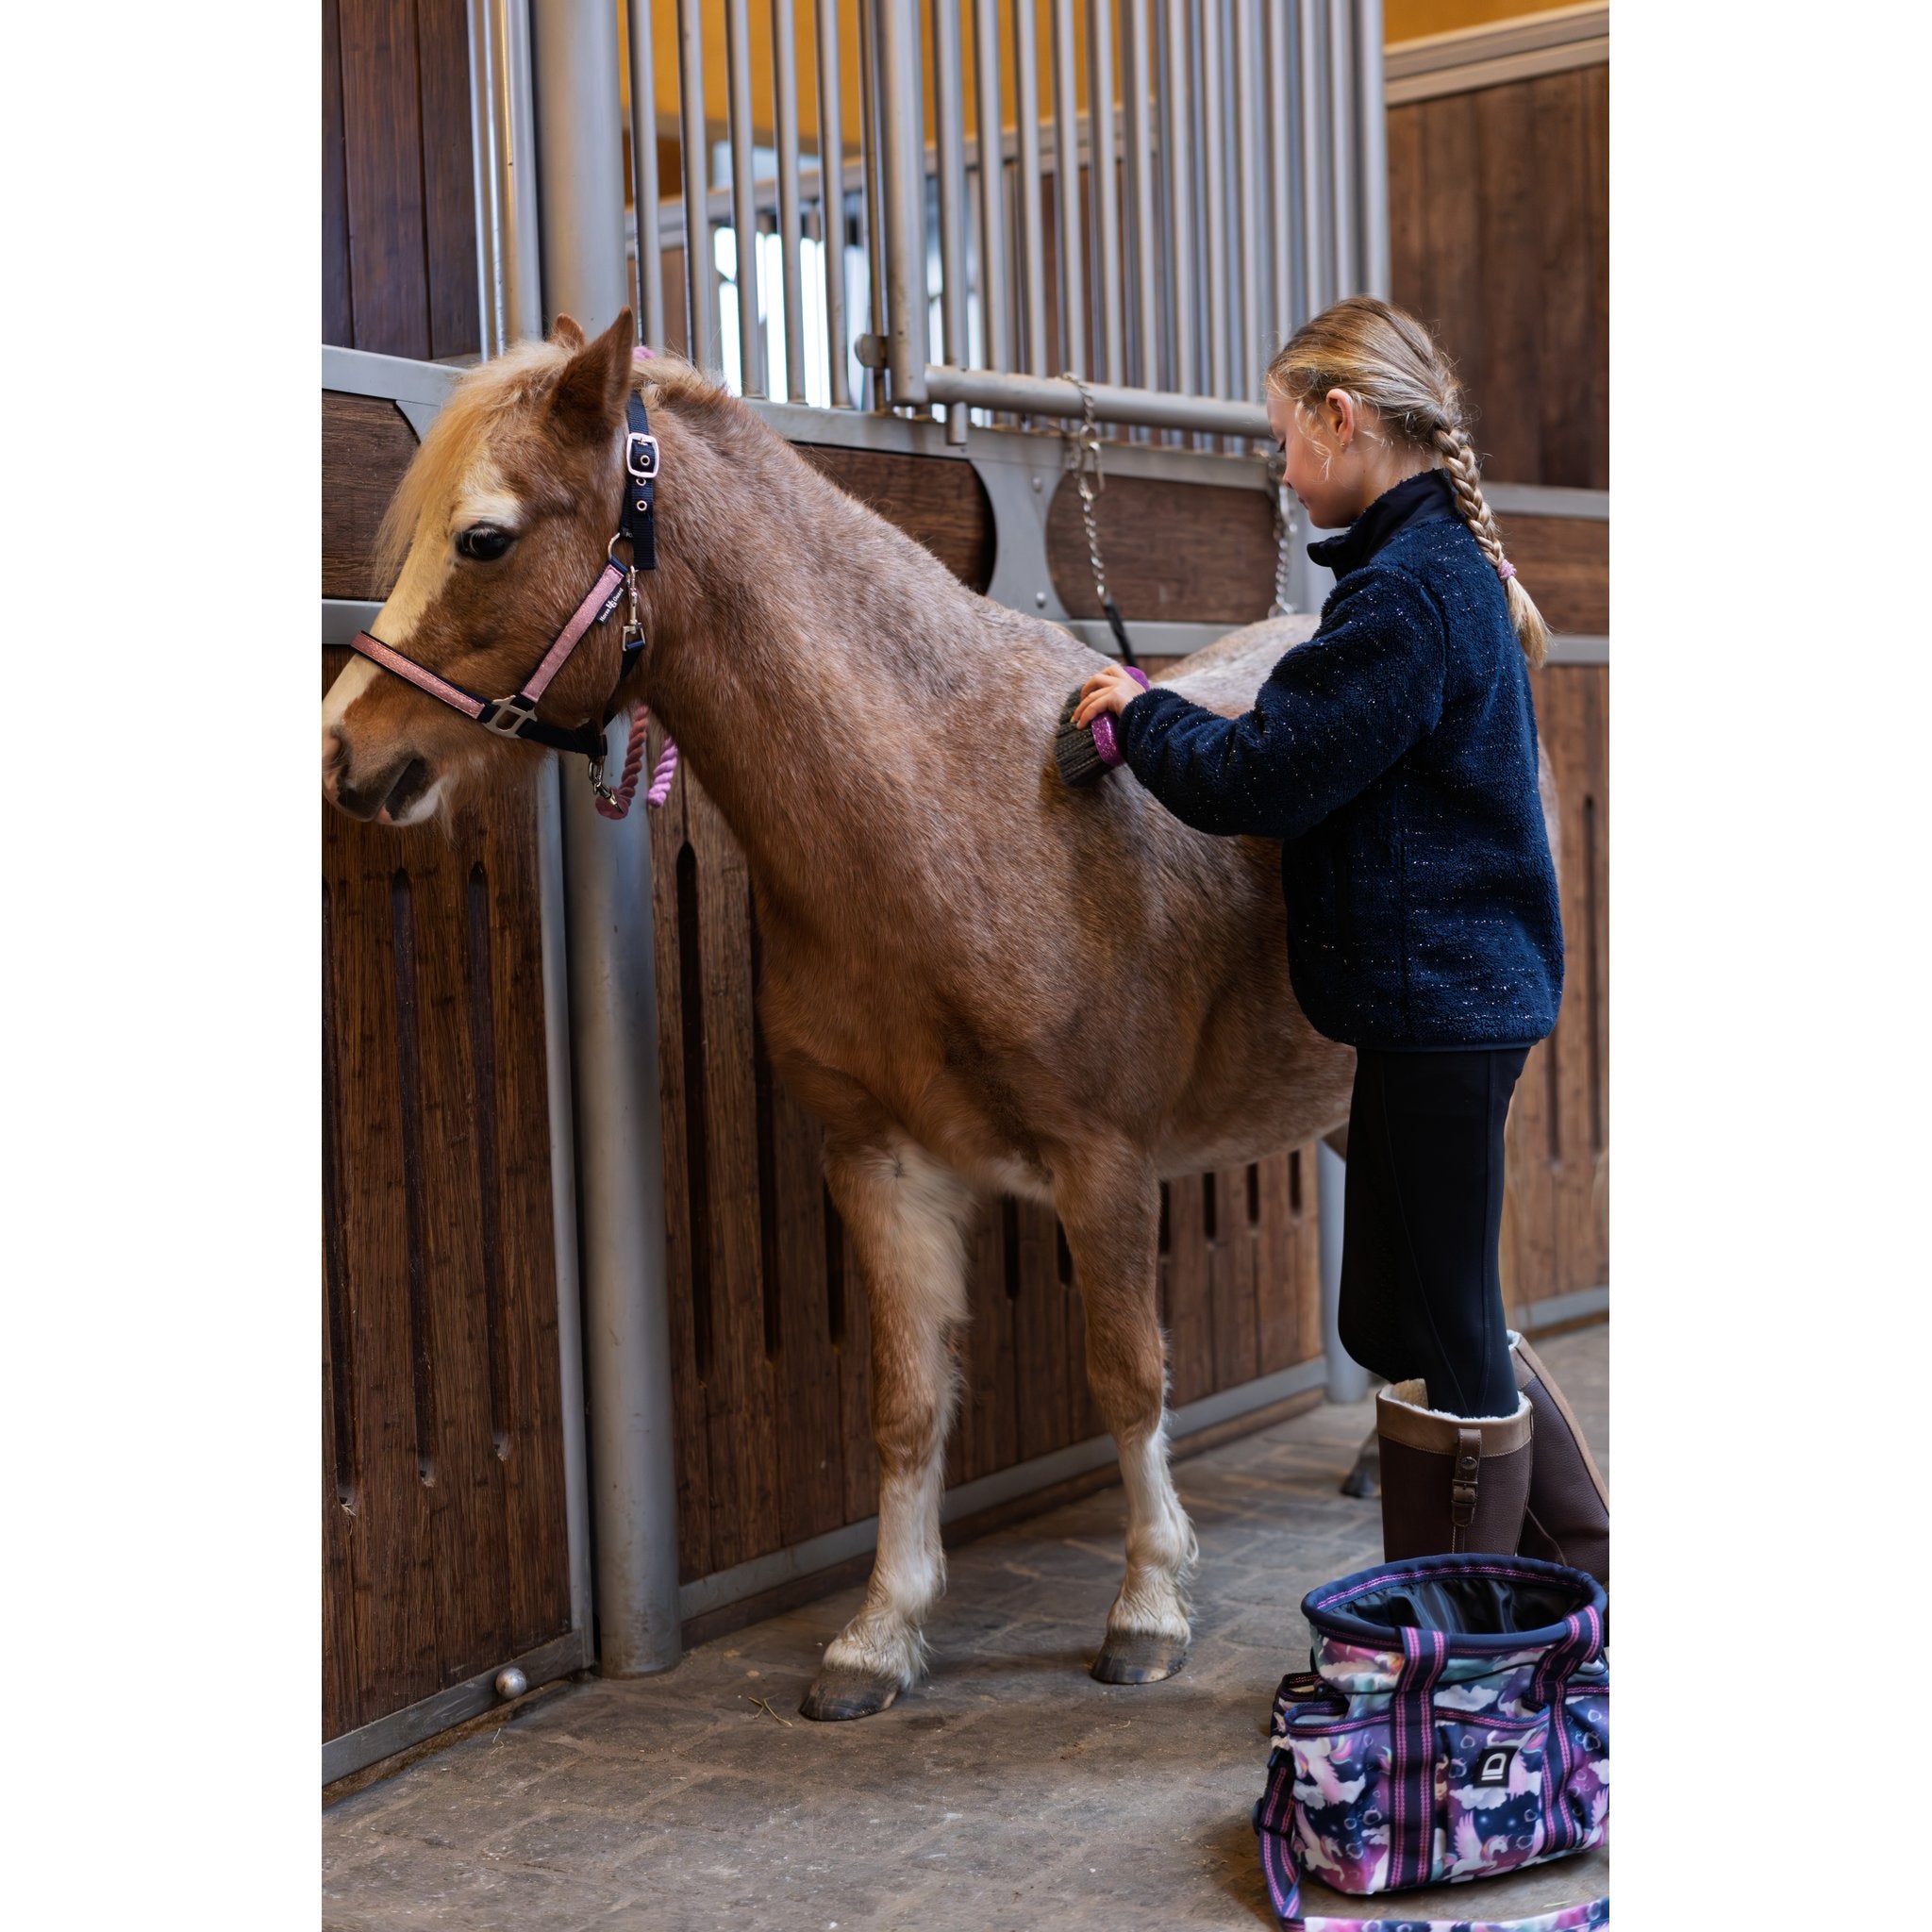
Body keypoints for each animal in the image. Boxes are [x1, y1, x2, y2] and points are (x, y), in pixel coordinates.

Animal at [322, 310, 1363, 1721]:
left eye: (481, 538)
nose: (343, 754)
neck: (957, 811)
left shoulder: (1103, 1165)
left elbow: (1128, 1374)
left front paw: (1148, 1609)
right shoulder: (880, 1162)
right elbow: (906, 1401)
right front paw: (880, 1633)